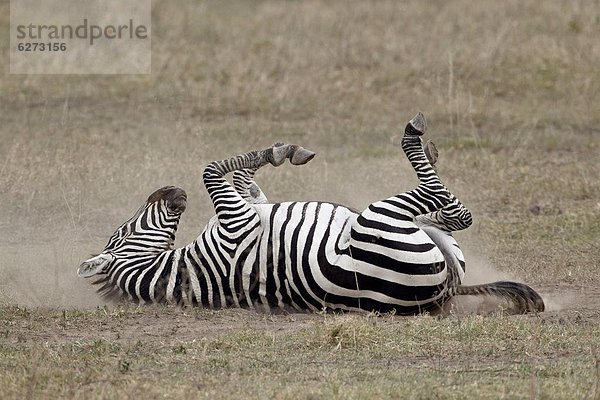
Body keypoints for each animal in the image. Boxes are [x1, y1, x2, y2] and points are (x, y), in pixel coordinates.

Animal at [78, 113, 544, 316]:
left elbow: (242, 178)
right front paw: (279, 152)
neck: (176, 269)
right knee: (450, 207)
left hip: (436, 243)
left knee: (447, 215)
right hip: (378, 218)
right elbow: (212, 170)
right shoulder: (236, 221)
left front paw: (280, 151)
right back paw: (416, 138)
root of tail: (446, 291)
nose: (170, 191)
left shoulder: (246, 208)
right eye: (123, 230)